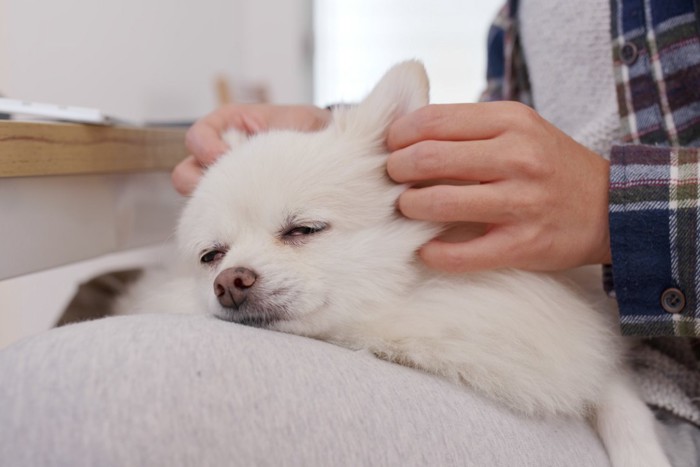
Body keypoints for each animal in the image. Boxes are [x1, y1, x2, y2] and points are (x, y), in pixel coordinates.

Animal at [133, 63, 672, 467]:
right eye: (211, 257)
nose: (229, 282)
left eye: (303, 230)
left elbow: (620, 401)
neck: (404, 315)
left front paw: (643, 455)